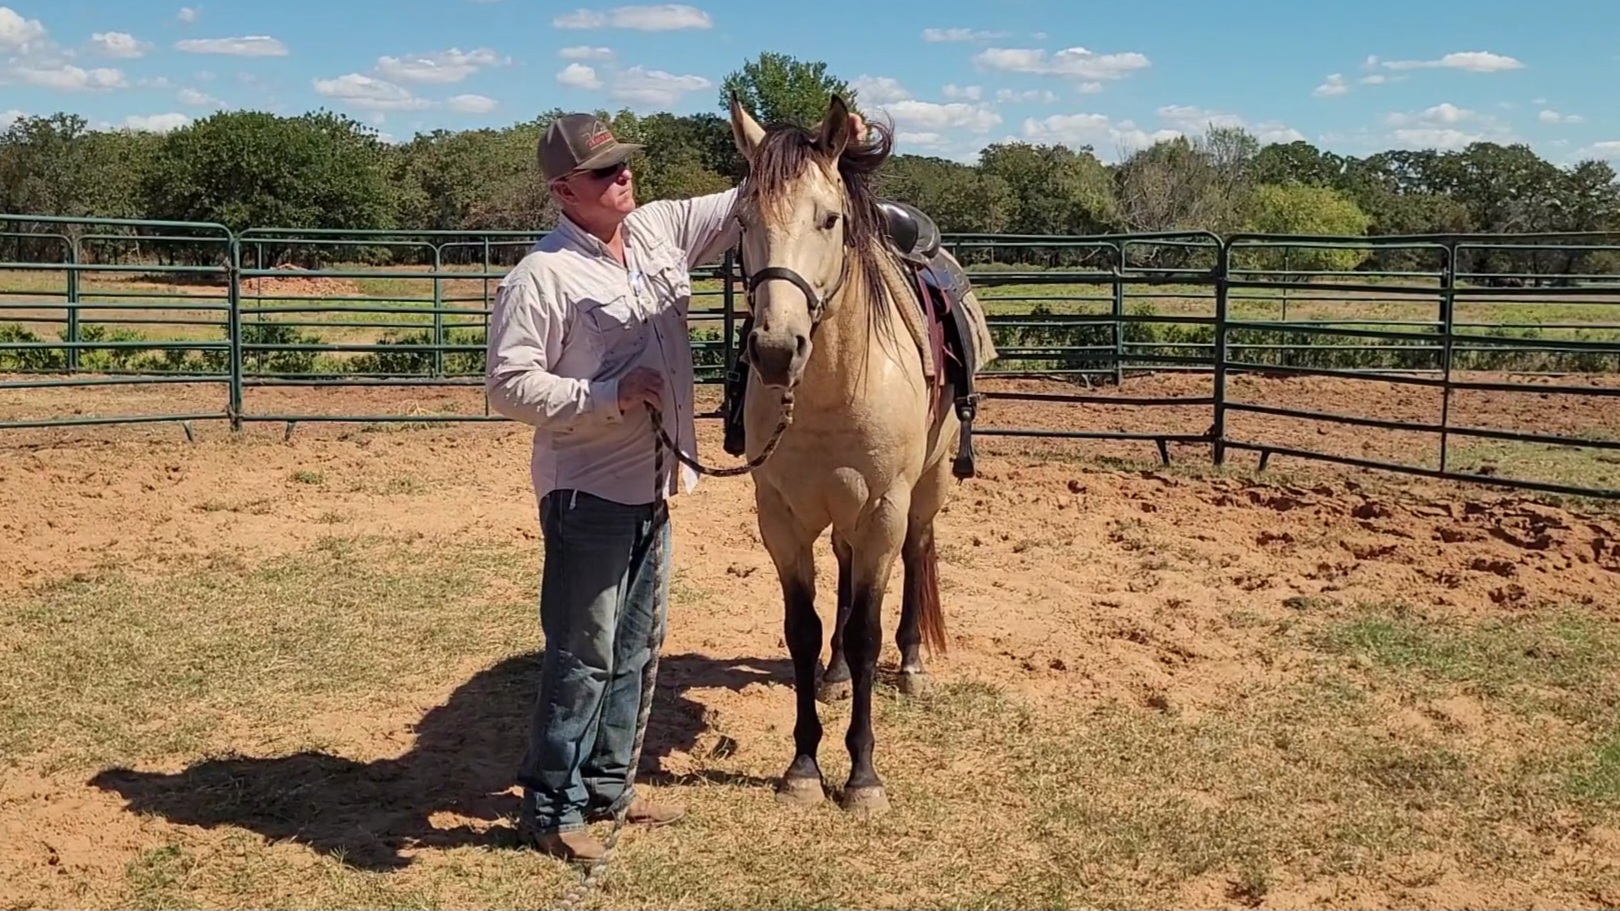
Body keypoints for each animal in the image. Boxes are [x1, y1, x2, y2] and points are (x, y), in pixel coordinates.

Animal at [723, 92, 997, 814]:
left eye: (829, 217)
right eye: (742, 218)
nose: (775, 349)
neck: (832, 388)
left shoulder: (881, 510)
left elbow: (868, 630)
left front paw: (862, 775)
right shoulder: (783, 517)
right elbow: (805, 629)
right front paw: (802, 766)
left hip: (925, 490)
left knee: (916, 557)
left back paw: (914, 665)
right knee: (843, 586)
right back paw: (836, 674)